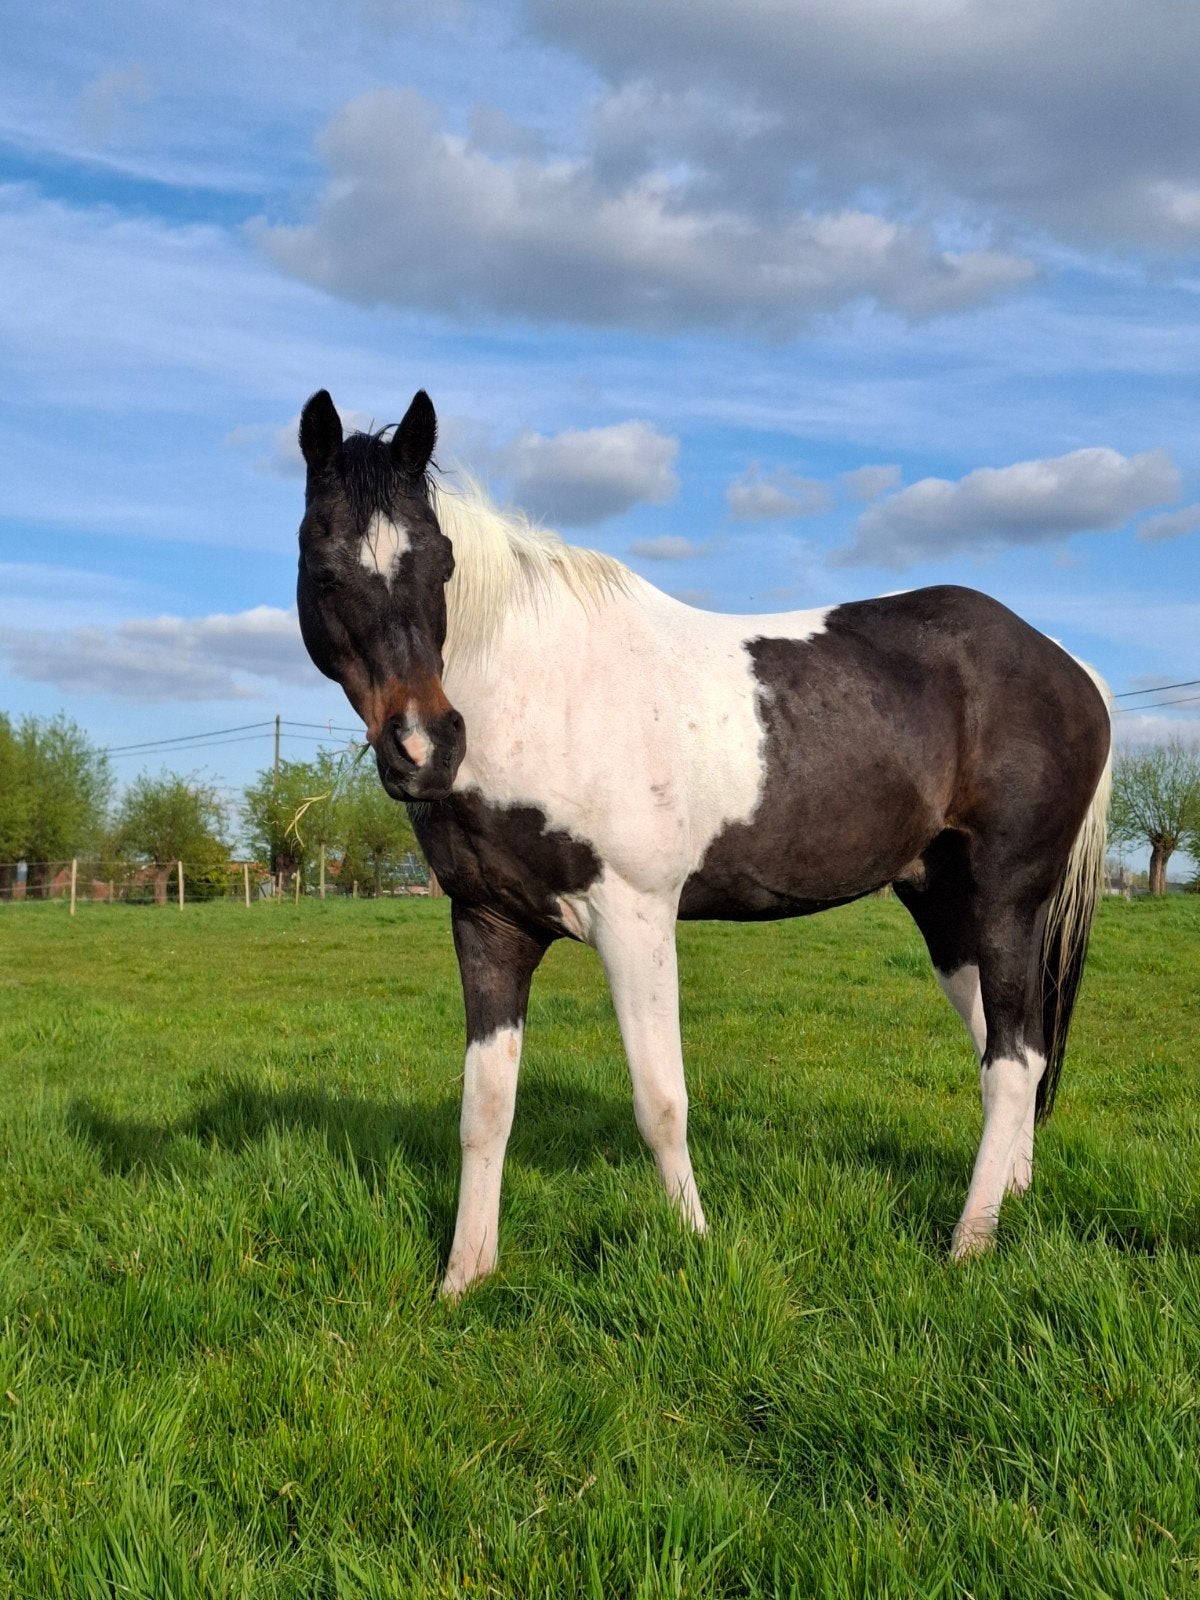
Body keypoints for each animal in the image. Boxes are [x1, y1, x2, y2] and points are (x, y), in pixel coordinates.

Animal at [295, 387, 1112, 1297]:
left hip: (1007, 898)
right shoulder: (488, 925)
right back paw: (1013, 1197)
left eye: (440, 565)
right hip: (945, 908)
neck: (541, 694)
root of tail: (1071, 667)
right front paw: (464, 1278)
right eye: (324, 570)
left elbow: (660, 1101)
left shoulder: (634, 918)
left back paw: (969, 1240)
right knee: (1011, 1049)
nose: (424, 747)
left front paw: (697, 1243)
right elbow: (485, 1112)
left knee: (1013, 1062)